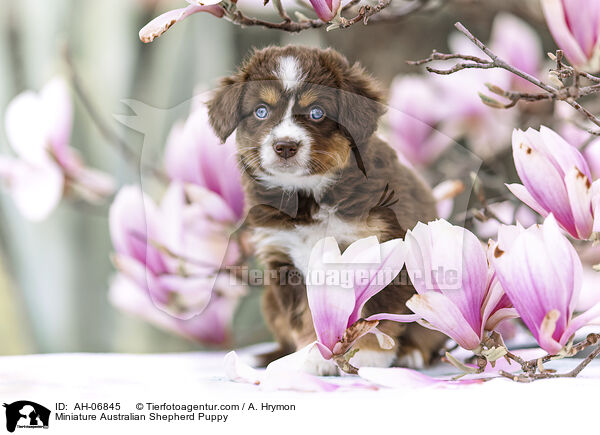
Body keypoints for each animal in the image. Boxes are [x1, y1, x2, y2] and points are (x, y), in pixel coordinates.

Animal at [207, 46, 446, 376]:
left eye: (317, 112)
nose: (285, 146)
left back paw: (411, 354)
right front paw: (314, 355)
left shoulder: (384, 247)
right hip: (270, 301)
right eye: (261, 111)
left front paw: (368, 355)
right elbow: (306, 315)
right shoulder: (284, 260)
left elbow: (375, 313)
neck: (308, 198)